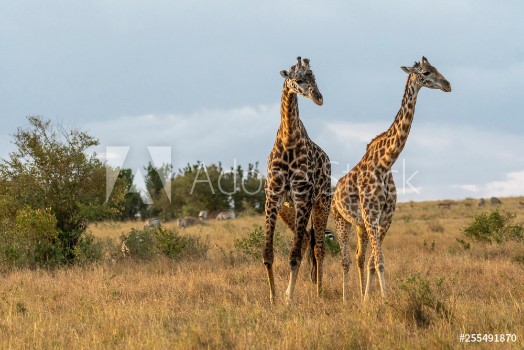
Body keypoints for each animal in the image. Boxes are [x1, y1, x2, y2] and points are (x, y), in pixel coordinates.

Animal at [262, 56, 332, 304]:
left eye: (314, 77)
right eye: (298, 79)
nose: (319, 98)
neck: (288, 139)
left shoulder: (303, 198)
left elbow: (293, 256)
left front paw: (288, 300)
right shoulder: (273, 198)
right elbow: (268, 253)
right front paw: (273, 297)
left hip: (322, 203)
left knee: (318, 248)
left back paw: (320, 291)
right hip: (288, 207)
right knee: (307, 242)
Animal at [332, 56, 450, 302]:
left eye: (436, 68)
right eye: (426, 72)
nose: (448, 85)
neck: (386, 163)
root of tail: (334, 191)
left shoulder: (385, 218)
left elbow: (372, 262)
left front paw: (368, 299)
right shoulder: (372, 215)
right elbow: (379, 262)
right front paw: (385, 300)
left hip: (359, 224)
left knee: (358, 257)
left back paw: (360, 295)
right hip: (340, 219)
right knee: (345, 260)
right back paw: (347, 299)